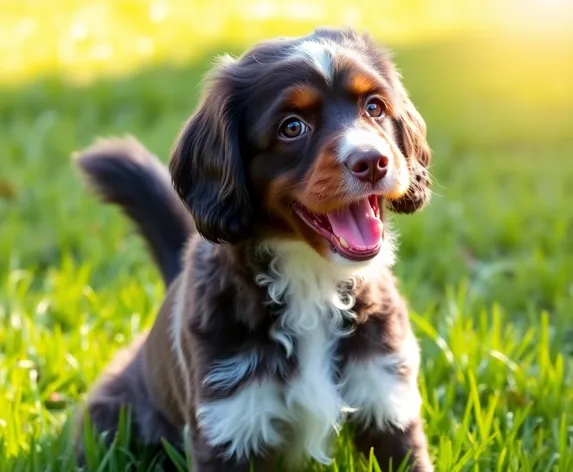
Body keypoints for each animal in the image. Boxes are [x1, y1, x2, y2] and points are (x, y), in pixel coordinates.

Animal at [77, 28, 434, 472]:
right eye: (292, 127)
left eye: (374, 107)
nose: (372, 161)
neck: (311, 276)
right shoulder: (228, 421)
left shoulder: (385, 393)